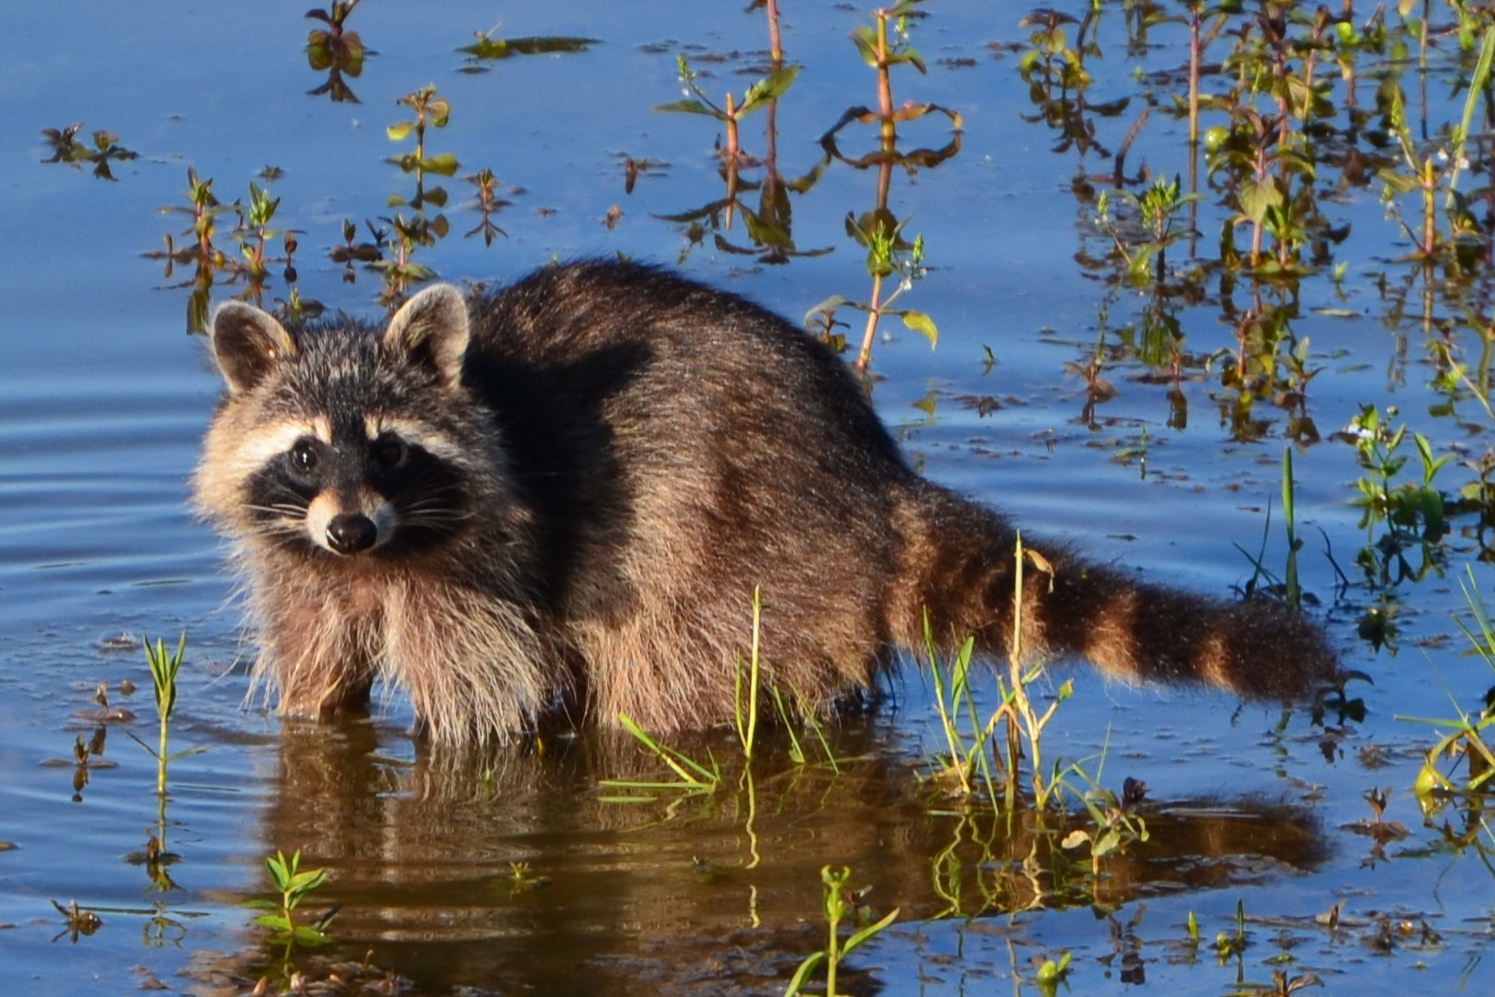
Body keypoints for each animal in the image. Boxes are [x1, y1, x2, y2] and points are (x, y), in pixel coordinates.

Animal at [192, 261, 1339, 744]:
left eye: (390, 450)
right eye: (306, 454)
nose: (350, 524)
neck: (380, 556)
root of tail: (874, 483)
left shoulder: (484, 567)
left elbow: (488, 707)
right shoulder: (302, 563)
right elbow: (316, 679)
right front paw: (314, 721)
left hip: (728, 553)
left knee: (658, 694)